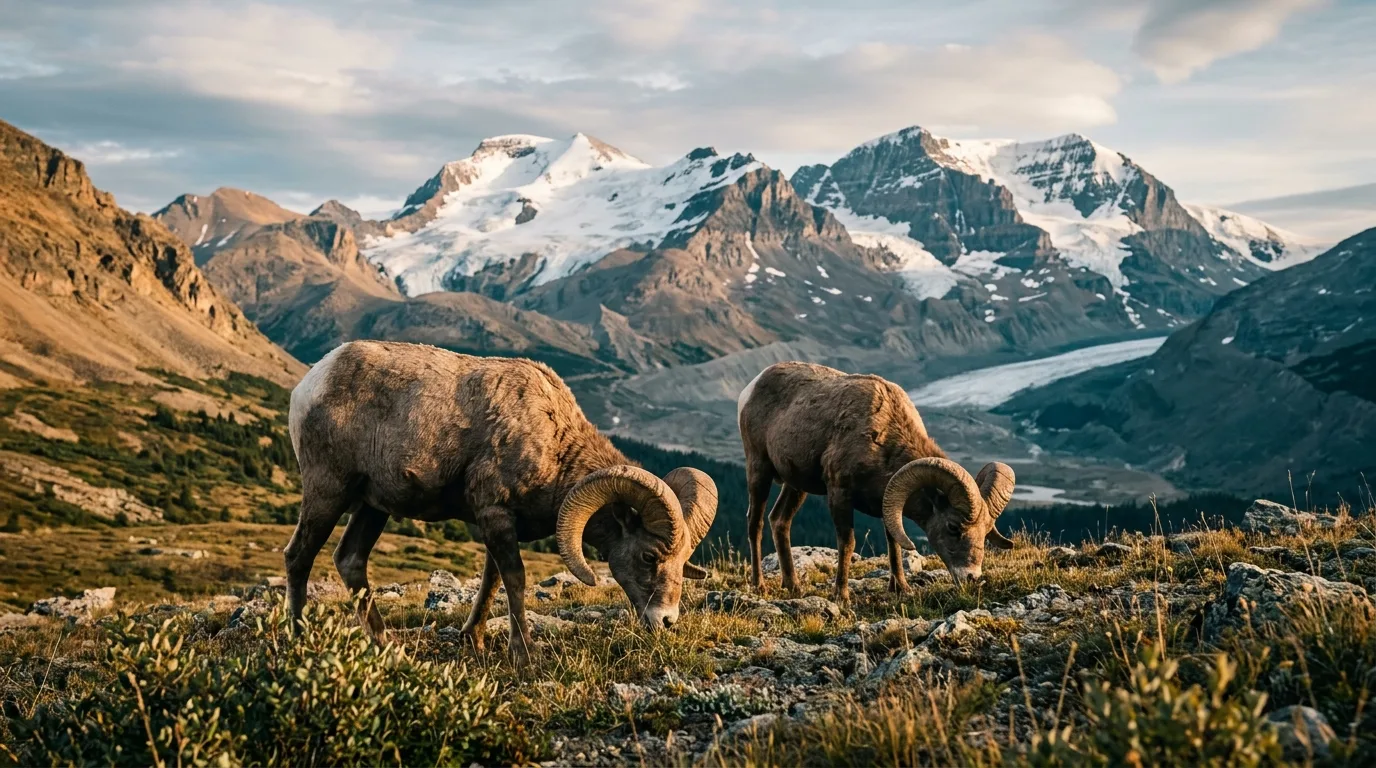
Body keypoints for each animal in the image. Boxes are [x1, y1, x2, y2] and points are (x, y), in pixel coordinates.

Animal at [286, 340, 717, 666]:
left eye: (682, 561)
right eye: (648, 556)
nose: (666, 621)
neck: (554, 444)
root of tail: (309, 384)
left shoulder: (497, 524)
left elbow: (490, 580)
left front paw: (474, 641)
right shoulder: (495, 515)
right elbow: (514, 579)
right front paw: (524, 655)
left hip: (372, 507)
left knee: (350, 560)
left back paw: (387, 646)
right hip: (328, 492)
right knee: (299, 556)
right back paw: (300, 638)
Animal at [737, 361, 1015, 602]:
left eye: (986, 530)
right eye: (953, 527)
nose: (972, 578)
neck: (883, 440)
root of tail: (751, 387)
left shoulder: (887, 500)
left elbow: (894, 542)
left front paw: (901, 588)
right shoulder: (839, 493)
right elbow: (847, 542)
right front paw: (842, 596)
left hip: (795, 485)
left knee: (779, 521)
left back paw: (793, 586)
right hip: (759, 470)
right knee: (755, 523)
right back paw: (760, 585)